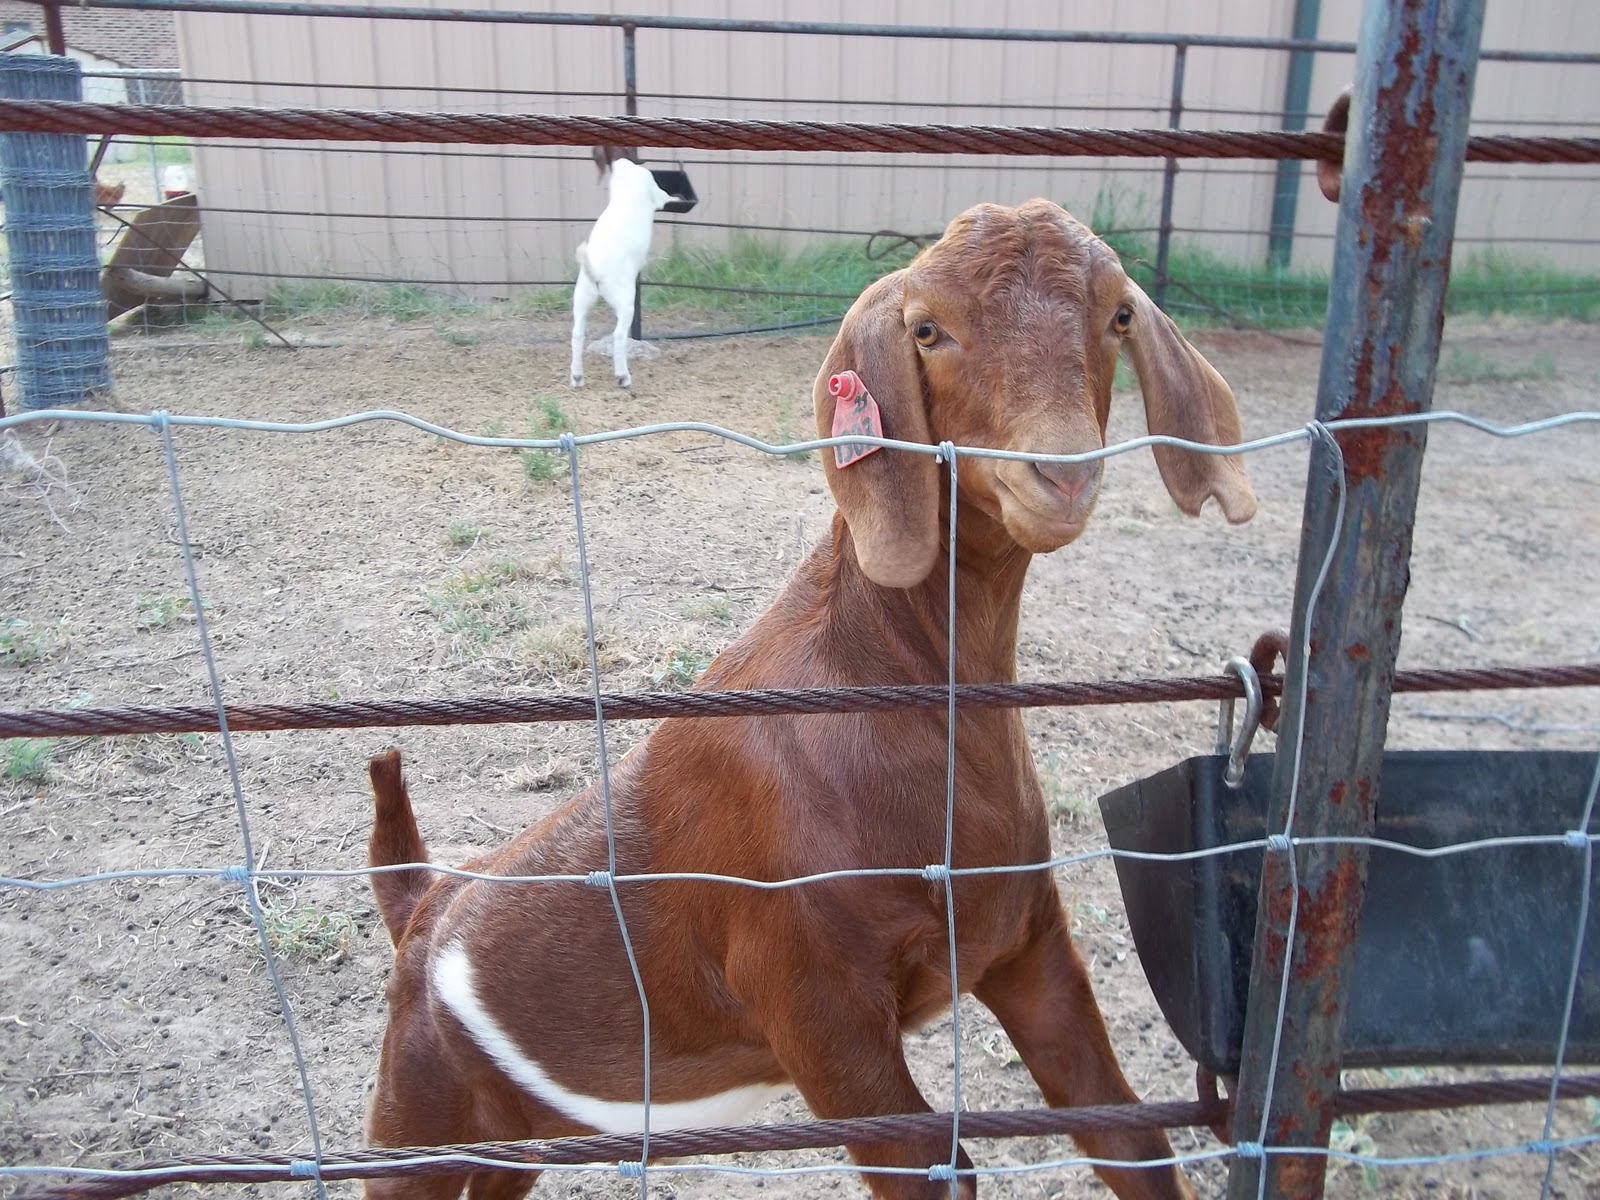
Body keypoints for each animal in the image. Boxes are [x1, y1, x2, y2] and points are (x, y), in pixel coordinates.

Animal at [367, 197, 1257, 1200]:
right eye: (927, 329)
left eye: (1119, 315)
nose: (1061, 474)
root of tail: (424, 905)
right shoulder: (814, 1003)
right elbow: (935, 1168)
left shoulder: (1026, 943)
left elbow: (1125, 1135)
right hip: (413, 1110)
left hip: (514, 1137)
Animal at [568, 146, 672, 390]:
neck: (623, 166)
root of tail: (596, 272)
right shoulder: (654, 189)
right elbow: (665, 197)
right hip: (625, 303)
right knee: (618, 336)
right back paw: (623, 377)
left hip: (581, 299)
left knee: (577, 334)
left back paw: (577, 377)